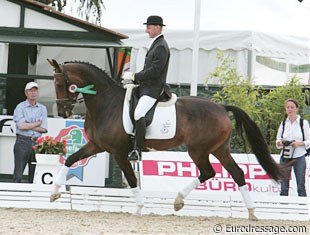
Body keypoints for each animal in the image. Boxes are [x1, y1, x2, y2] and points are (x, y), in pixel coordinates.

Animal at [47, 59, 280, 220]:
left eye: (61, 83)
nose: (63, 112)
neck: (106, 103)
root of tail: (222, 107)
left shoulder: (119, 152)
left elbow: (132, 179)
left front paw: (140, 208)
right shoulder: (96, 145)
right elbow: (70, 160)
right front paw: (54, 193)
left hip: (198, 149)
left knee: (208, 172)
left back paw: (178, 201)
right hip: (219, 148)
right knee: (236, 173)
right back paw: (251, 212)